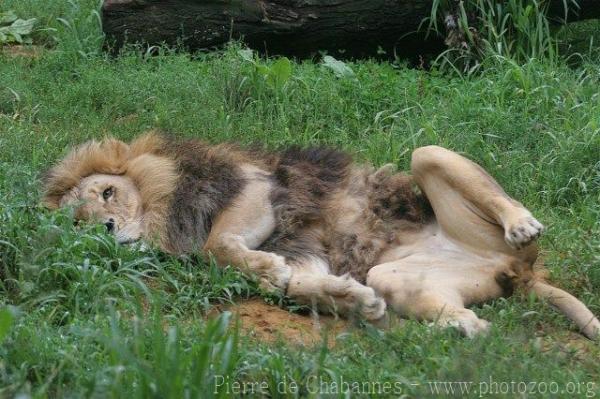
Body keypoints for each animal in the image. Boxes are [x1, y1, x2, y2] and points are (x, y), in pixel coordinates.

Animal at [43, 133, 600, 340]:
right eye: (78, 222)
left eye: (108, 194)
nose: (106, 229)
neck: (162, 207)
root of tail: (518, 272)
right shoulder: (302, 248)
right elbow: (300, 283)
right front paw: (353, 301)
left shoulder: (254, 186)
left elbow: (219, 245)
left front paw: (262, 268)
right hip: (398, 273)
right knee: (467, 318)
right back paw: (461, 331)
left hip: (428, 154)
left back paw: (522, 226)